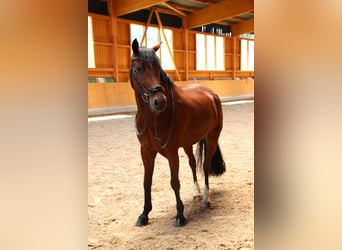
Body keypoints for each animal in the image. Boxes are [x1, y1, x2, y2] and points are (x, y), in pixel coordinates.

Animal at [130, 38, 226, 227]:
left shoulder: (172, 152)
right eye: (139, 69)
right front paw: (144, 214)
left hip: (212, 138)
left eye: (157, 69)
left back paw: (206, 199)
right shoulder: (146, 151)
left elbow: (175, 182)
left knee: (205, 165)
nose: (159, 101)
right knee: (192, 163)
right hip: (188, 144)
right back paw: (197, 193)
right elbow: (146, 182)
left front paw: (180, 215)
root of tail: (211, 94)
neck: (154, 118)